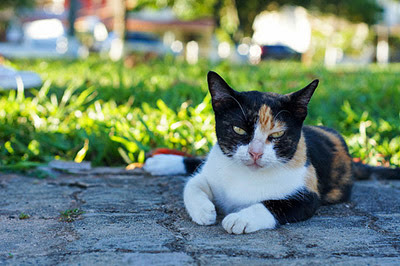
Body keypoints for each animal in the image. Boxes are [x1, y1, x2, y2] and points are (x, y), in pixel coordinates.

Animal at [144, 71, 400, 234]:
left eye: (276, 135)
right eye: (239, 129)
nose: (256, 153)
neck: (246, 175)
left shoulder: (308, 194)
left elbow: (273, 204)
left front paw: (241, 218)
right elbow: (192, 184)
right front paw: (204, 210)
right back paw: (162, 161)